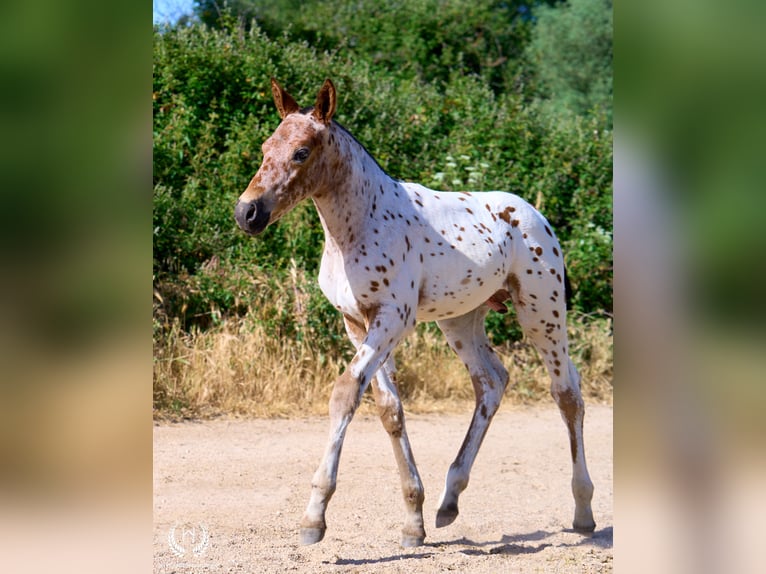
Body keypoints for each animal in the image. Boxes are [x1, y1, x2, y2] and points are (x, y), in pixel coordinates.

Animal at [234, 78, 595, 547]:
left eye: (301, 151)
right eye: (265, 147)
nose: (247, 212)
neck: (358, 225)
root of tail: (536, 216)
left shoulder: (393, 317)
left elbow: (344, 393)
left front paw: (314, 517)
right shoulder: (356, 322)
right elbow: (388, 408)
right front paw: (413, 519)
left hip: (542, 312)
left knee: (567, 392)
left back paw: (583, 511)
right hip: (459, 320)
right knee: (491, 382)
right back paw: (449, 500)